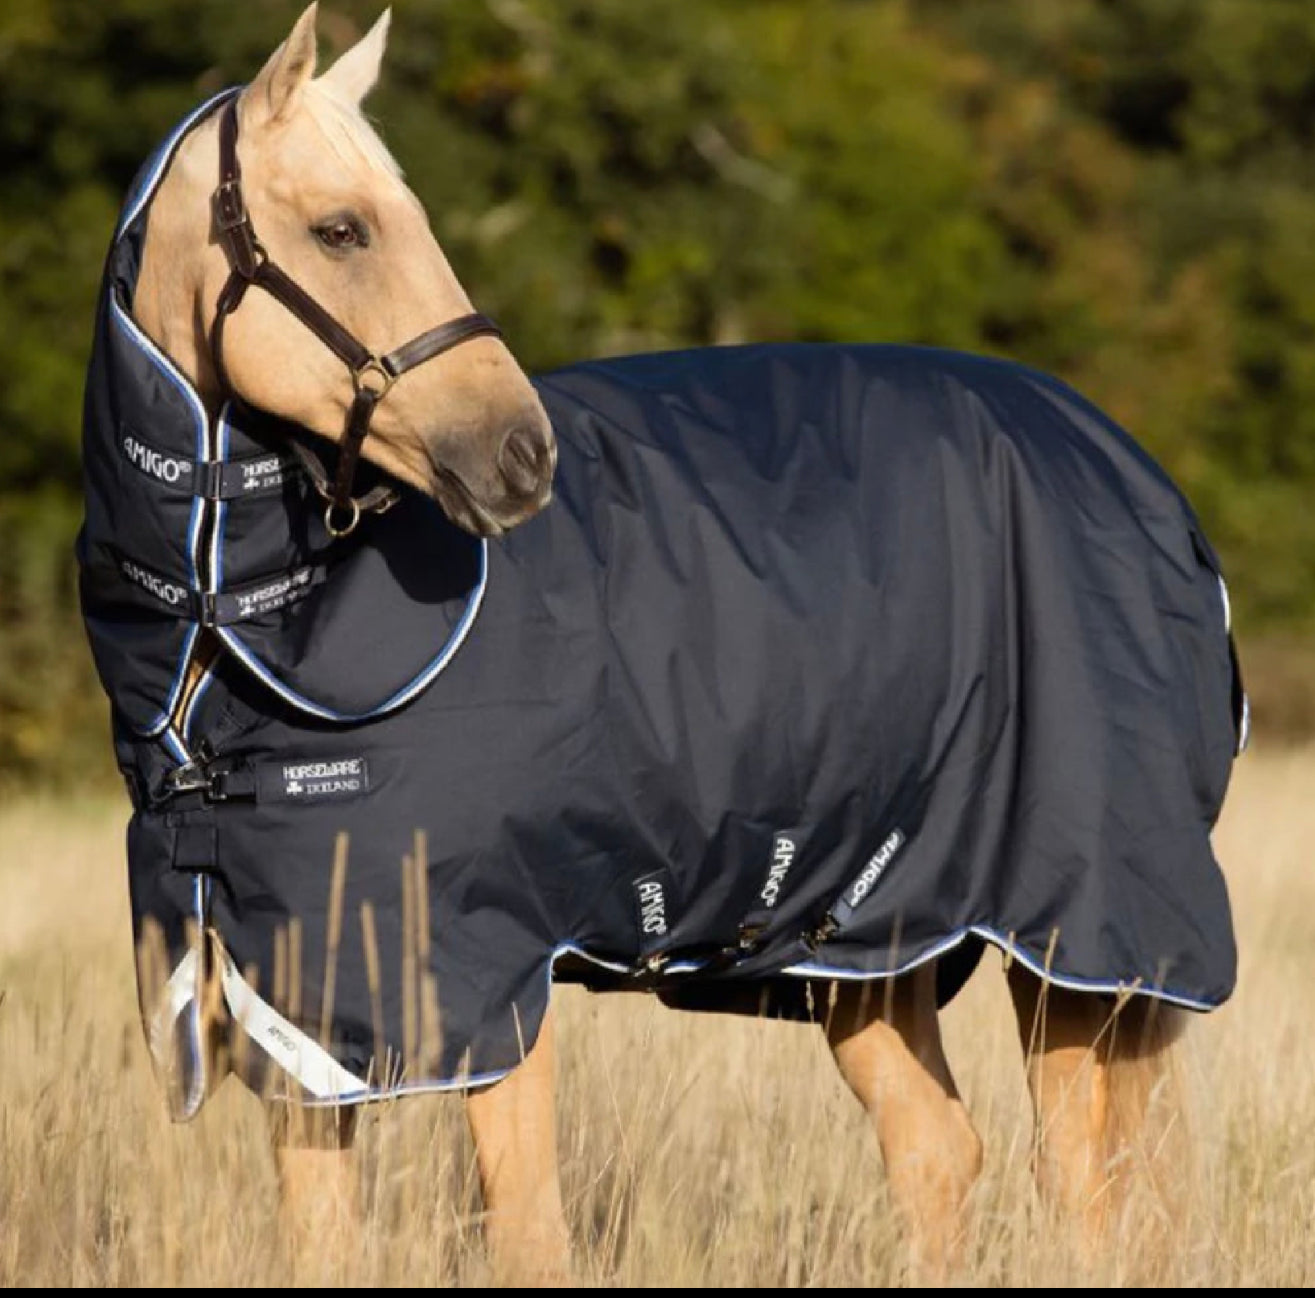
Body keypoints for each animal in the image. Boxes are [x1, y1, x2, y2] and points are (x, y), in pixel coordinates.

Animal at [78, 4, 1243, 1283]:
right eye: (341, 230)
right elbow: (323, 1242)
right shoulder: (306, 1010)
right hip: (866, 942)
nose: (519, 454)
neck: (232, 639)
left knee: (1084, 1182)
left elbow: (527, 1230)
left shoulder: (493, 975)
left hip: (1077, 934)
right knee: (939, 1150)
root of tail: (1142, 482)